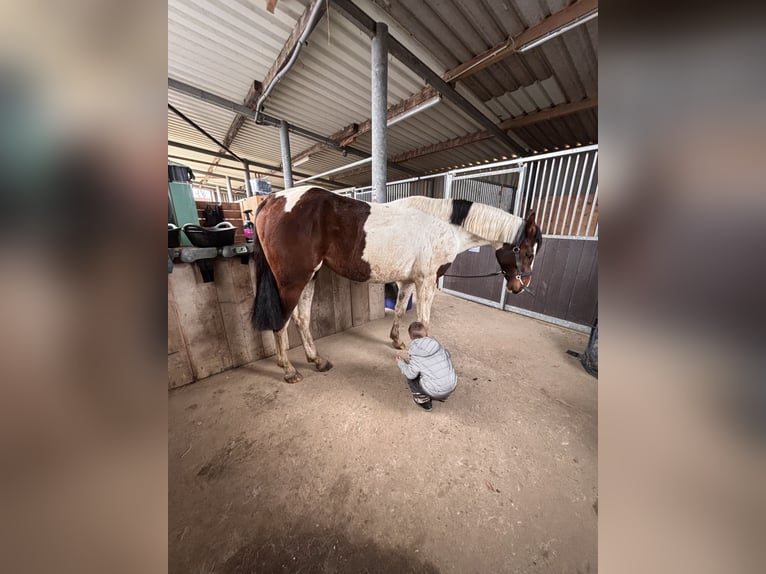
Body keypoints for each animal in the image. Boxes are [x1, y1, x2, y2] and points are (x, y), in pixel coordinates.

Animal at [252, 185, 542, 383]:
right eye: (528, 253)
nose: (521, 286)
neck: (445, 226)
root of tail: (271, 201)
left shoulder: (408, 280)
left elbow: (402, 310)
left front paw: (397, 341)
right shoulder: (427, 281)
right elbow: (424, 320)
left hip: (310, 277)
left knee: (302, 319)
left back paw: (317, 360)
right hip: (292, 281)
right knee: (282, 322)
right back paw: (289, 370)